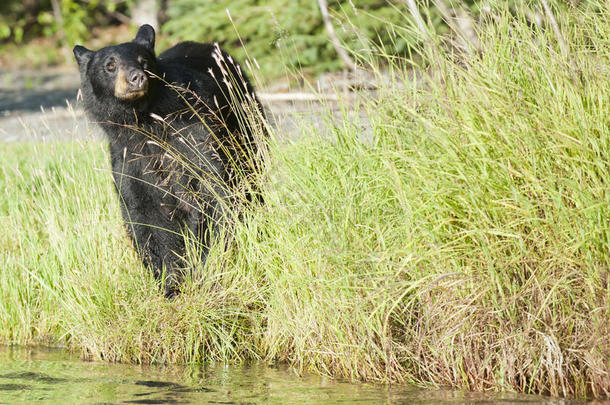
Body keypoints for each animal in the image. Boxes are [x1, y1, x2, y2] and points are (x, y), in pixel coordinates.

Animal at [72, 25, 262, 296]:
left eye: (144, 61)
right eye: (110, 65)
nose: (136, 77)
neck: (144, 122)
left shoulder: (192, 135)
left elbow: (210, 194)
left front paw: (205, 268)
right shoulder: (129, 157)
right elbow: (146, 213)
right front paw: (170, 282)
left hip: (243, 121)